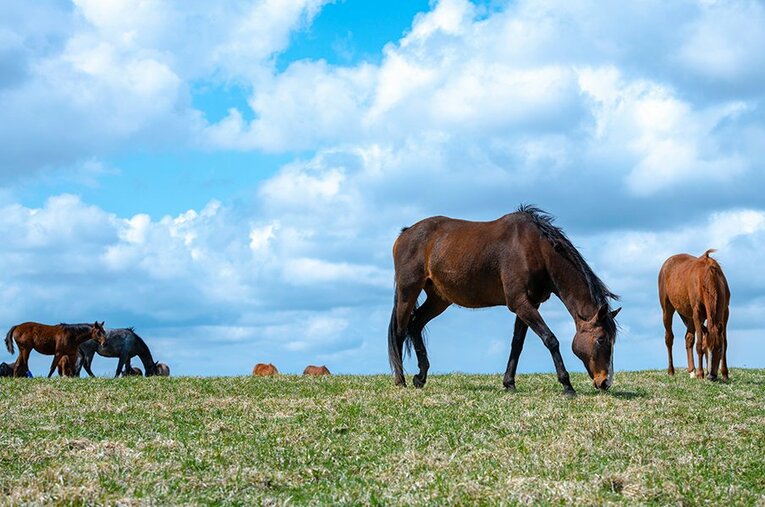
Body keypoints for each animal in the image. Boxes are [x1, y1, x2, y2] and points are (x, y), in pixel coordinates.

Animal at [389, 206, 621, 395]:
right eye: (601, 339)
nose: (605, 382)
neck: (535, 249)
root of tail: (405, 233)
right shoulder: (519, 303)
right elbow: (550, 339)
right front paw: (567, 385)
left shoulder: (529, 304)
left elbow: (517, 344)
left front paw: (509, 383)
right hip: (408, 291)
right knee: (400, 330)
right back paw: (401, 380)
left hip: (439, 299)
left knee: (415, 325)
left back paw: (420, 377)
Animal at [659, 249, 729, 381]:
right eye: (706, 349)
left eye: (719, 349)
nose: (711, 376)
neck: (709, 277)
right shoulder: (697, 313)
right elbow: (699, 344)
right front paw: (700, 374)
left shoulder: (725, 312)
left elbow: (725, 342)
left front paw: (725, 373)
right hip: (667, 310)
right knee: (669, 338)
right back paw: (671, 371)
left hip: (689, 316)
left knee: (688, 338)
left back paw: (691, 371)